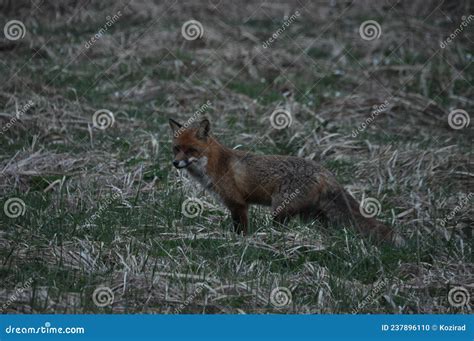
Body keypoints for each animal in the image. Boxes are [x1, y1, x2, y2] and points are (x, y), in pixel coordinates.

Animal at [170, 117, 404, 244]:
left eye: (191, 150)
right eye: (176, 148)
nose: (175, 163)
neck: (216, 164)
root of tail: (325, 172)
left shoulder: (238, 204)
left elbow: (241, 229)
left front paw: (241, 242)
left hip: (280, 210)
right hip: (313, 216)